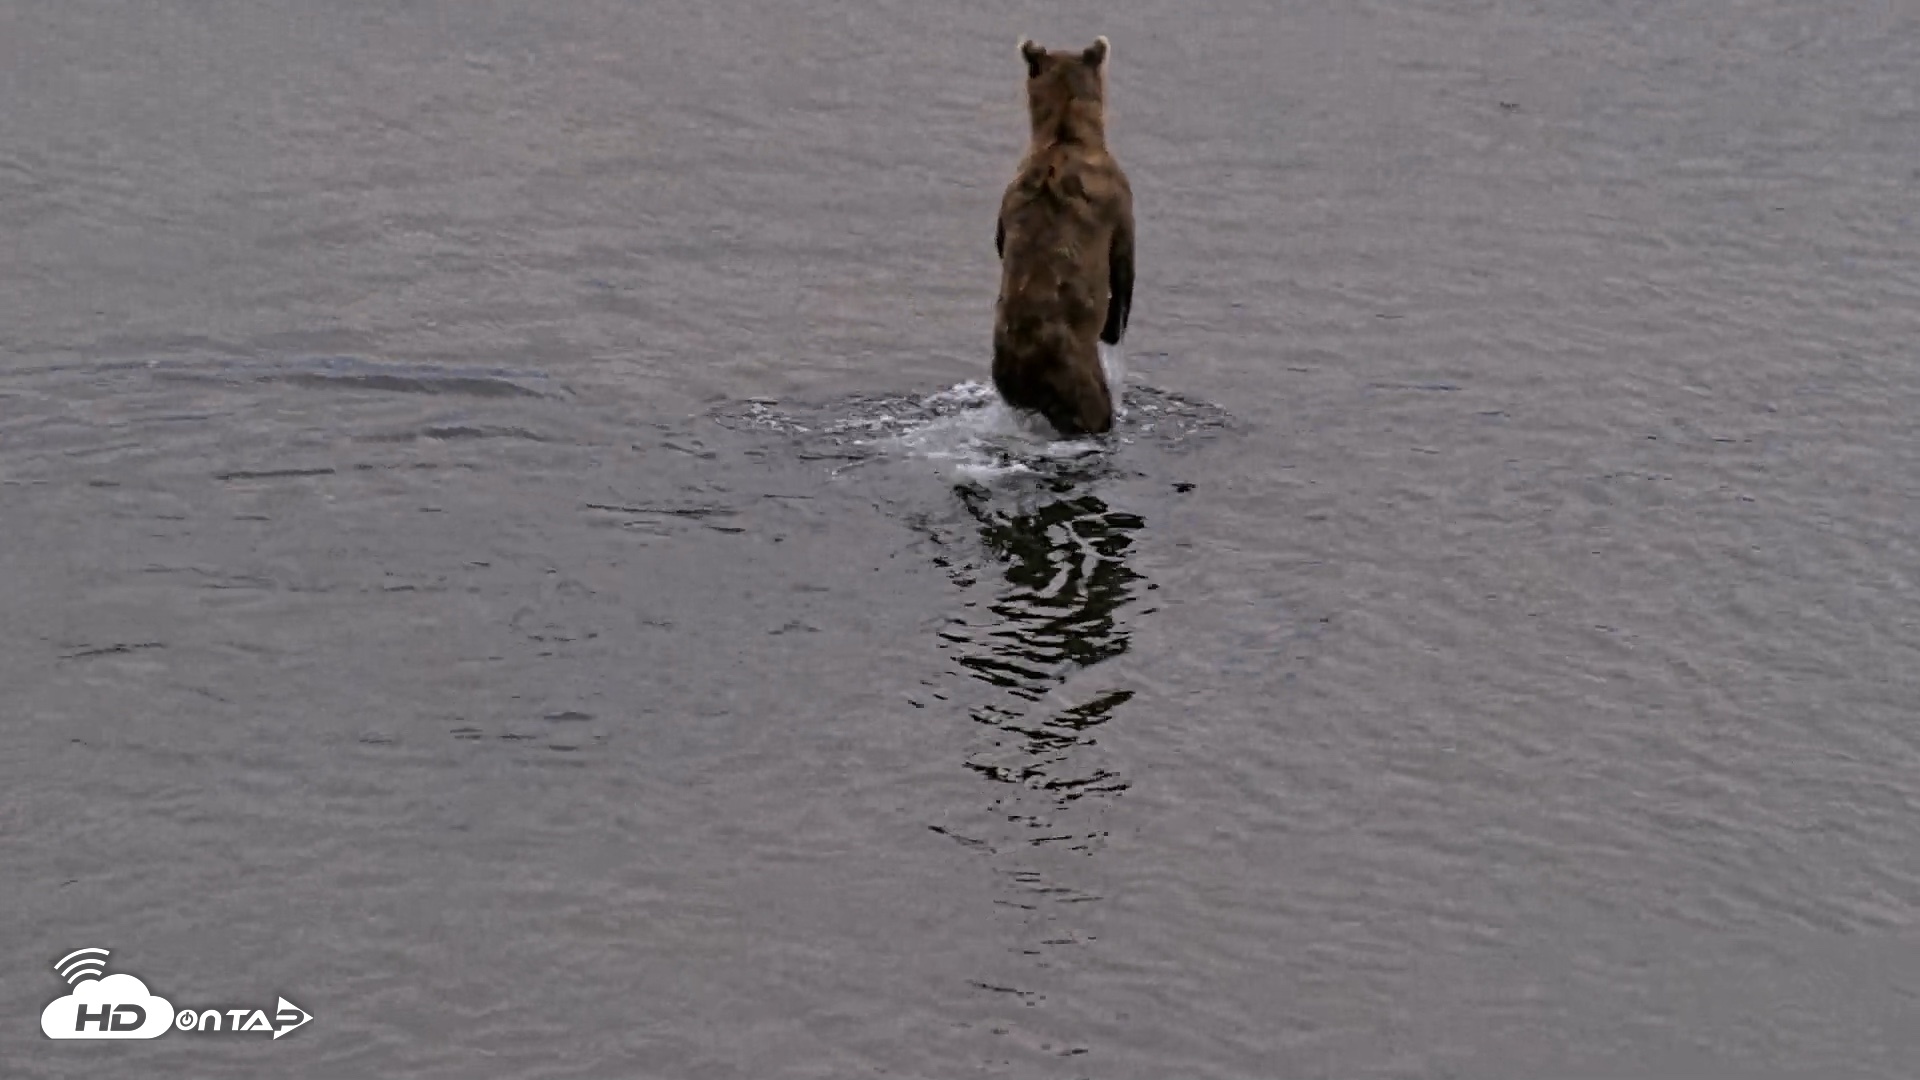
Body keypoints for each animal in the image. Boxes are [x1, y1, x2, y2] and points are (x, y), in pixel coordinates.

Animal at [992, 36, 1135, 438]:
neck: (1064, 135)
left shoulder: (1010, 192)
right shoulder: (1116, 200)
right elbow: (1124, 262)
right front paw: (1114, 329)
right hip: (1077, 373)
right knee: (1095, 408)